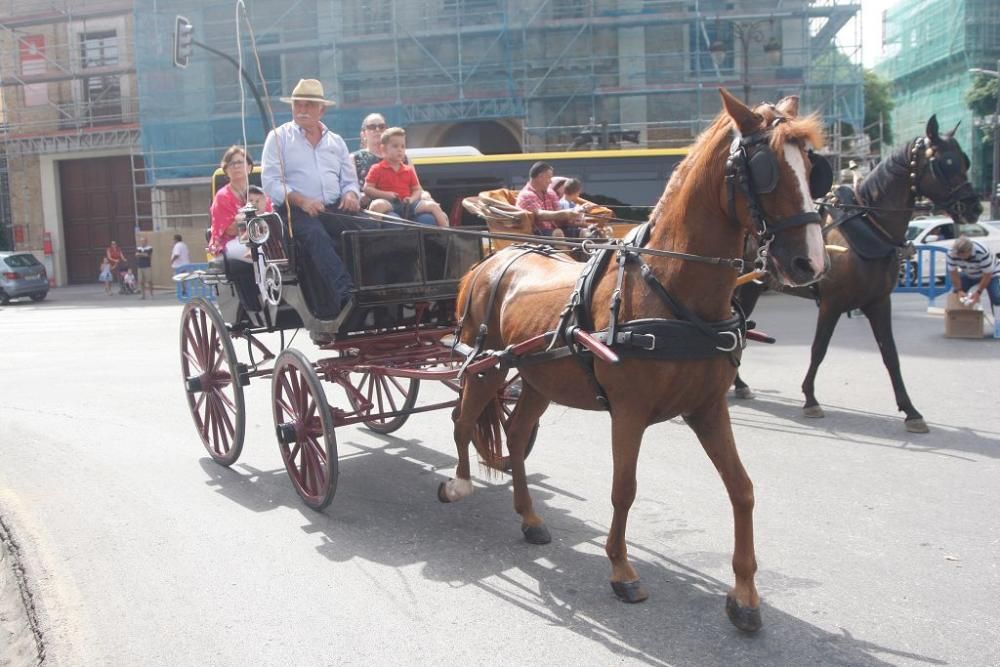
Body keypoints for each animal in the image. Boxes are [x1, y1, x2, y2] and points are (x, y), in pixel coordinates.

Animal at [444, 91, 828, 636]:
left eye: (814, 169)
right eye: (766, 169)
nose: (809, 263)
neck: (669, 289)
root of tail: (493, 260)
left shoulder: (708, 408)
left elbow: (742, 489)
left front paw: (745, 595)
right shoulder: (628, 412)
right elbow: (624, 489)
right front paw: (621, 570)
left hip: (538, 378)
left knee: (516, 436)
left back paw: (530, 518)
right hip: (488, 365)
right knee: (463, 419)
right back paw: (459, 483)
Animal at [732, 117, 980, 436]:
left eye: (965, 160)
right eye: (944, 163)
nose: (974, 208)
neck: (869, 225)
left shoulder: (878, 302)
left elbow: (890, 354)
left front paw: (910, 411)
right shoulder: (832, 303)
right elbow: (819, 349)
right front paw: (810, 398)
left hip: (751, 287)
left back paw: (738, 383)